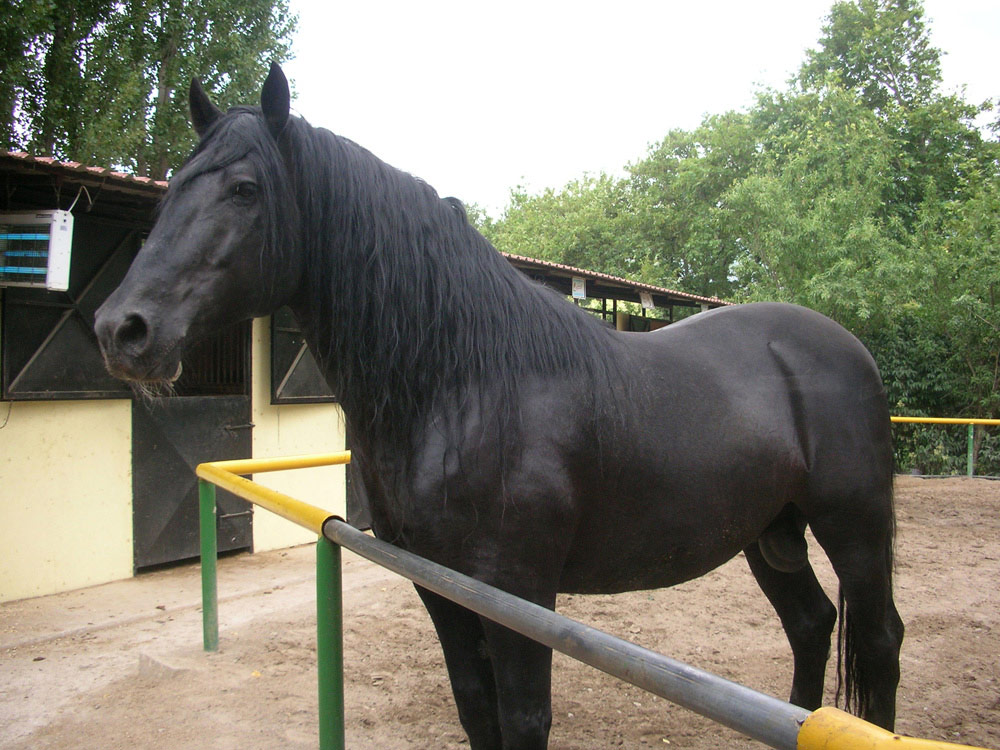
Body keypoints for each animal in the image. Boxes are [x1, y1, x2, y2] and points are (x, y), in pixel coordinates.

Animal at [94, 64, 903, 748]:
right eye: (175, 187)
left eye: (244, 190)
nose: (121, 329)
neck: (462, 383)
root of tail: (844, 346)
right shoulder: (442, 589)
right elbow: (475, 708)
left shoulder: (518, 594)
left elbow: (523, 717)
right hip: (771, 532)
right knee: (812, 626)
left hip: (855, 527)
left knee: (880, 641)